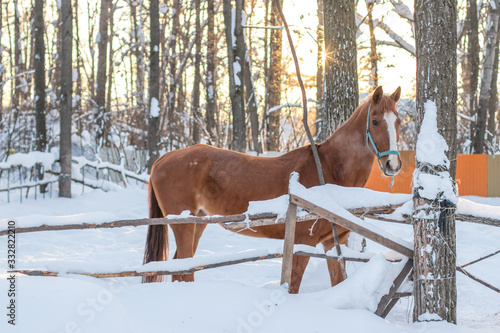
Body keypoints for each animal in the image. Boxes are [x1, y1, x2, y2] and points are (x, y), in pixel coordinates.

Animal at [143, 86, 400, 294]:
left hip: (199, 222)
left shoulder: (333, 243)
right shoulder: (303, 244)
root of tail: (161, 159)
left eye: (398, 121)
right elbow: (293, 286)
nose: (393, 165)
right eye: (375, 121)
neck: (328, 170)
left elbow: (338, 281)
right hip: (184, 225)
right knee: (184, 270)